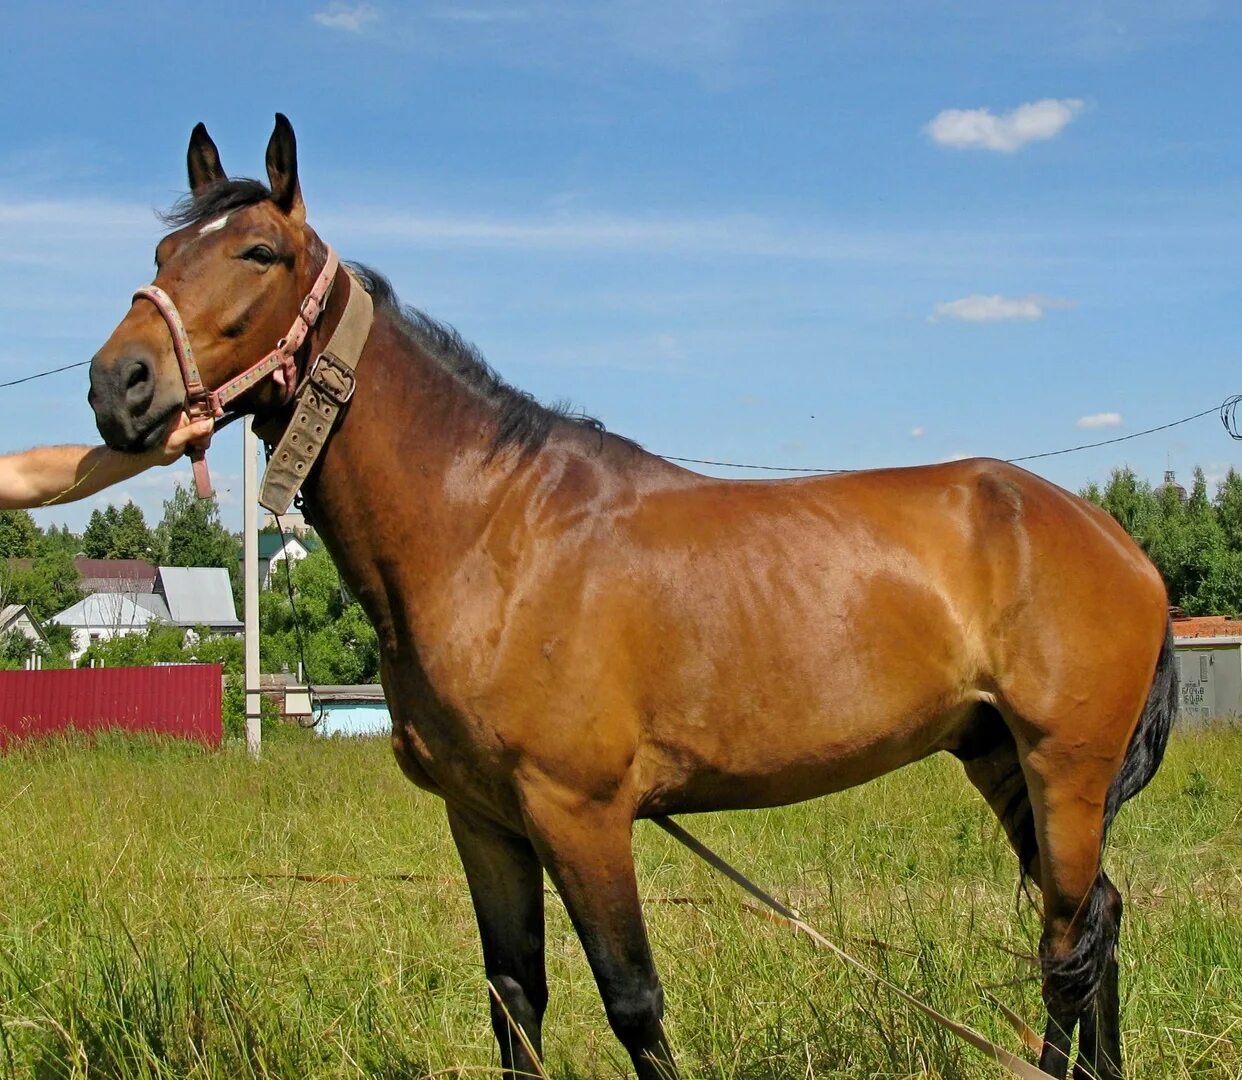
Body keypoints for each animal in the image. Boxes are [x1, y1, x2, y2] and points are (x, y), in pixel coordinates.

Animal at [85, 118, 1172, 1080]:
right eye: (164, 250)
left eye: (260, 252)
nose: (118, 385)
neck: (491, 533)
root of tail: (1115, 542)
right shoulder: (485, 821)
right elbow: (513, 999)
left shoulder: (581, 814)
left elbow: (634, 1003)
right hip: (1000, 761)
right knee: (1094, 927)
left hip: (1063, 770)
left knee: (1070, 946)